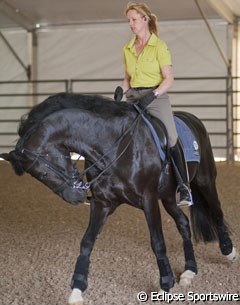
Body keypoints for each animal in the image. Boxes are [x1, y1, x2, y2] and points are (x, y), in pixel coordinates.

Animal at [0, 91, 238, 302]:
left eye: (43, 172)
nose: (75, 197)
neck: (114, 146)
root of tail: (193, 119)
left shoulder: (149, 200)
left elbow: (157, 242)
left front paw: (165, 283)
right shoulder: (103, 203)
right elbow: (87, 242)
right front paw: (77, 289)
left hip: (205, 181)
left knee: (216, 212)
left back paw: (229, 252)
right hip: (169, 197)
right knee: (183, 223)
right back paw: (189, 271)